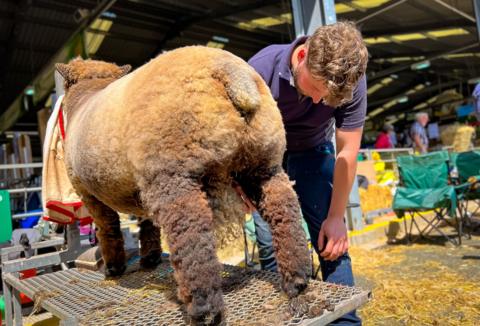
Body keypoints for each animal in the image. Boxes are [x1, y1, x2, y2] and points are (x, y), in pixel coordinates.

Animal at [56, 45, 312, 324]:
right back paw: (297, 281)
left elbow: (108, 229)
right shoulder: (139, 186)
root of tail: (231, 72)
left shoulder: (87, 192)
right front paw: (150, 258)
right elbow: (147, 225)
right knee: (285, 213)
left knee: (192, 241)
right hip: (263, 164)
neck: (87, 94)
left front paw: (114, 267)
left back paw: (204, 310)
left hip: (175, 175)